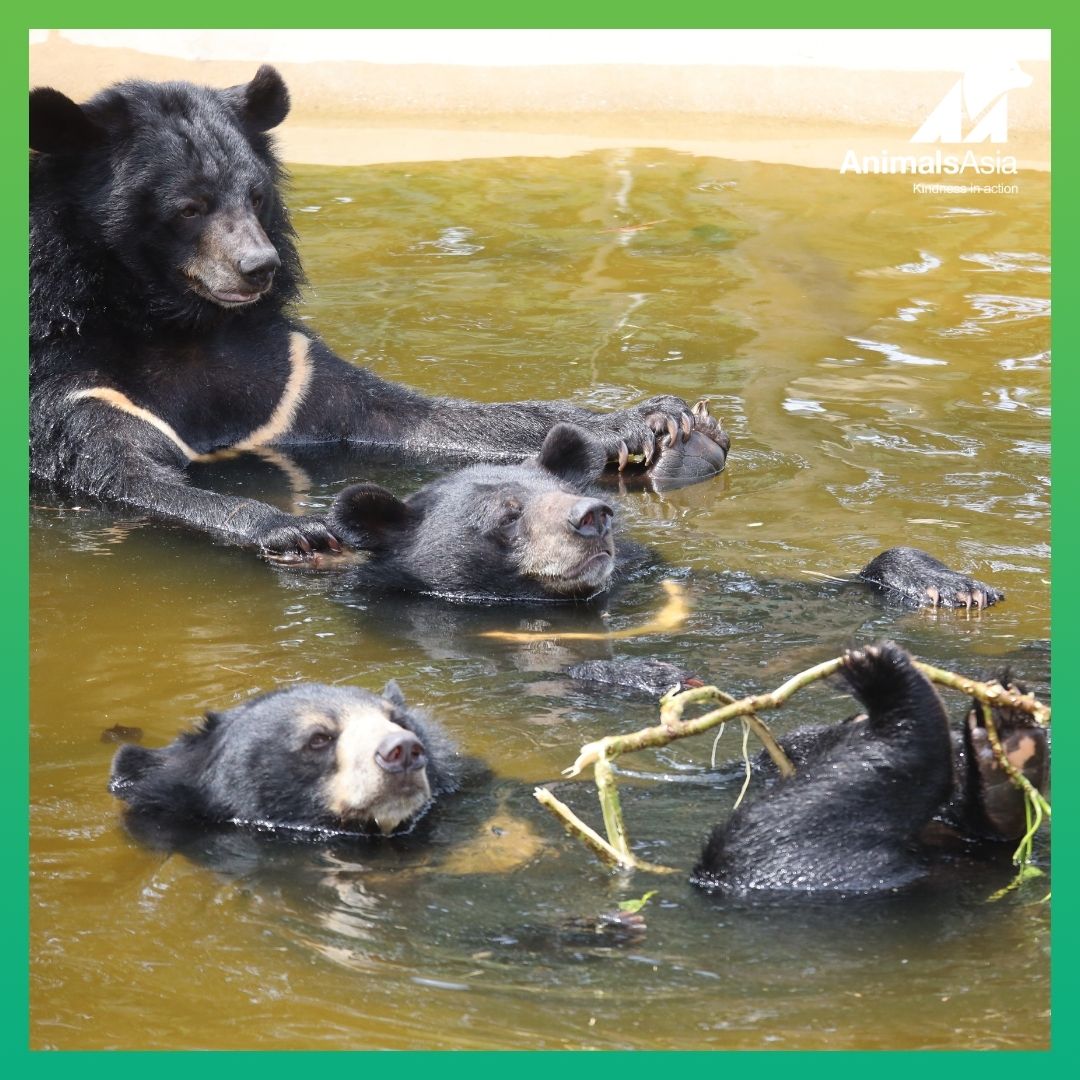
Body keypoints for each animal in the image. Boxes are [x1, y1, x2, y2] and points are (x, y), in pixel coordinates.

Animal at [29, 68, 730, 561]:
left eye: (254, 195)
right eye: (188, 207)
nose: (259, 267)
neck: (176, 322)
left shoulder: (287, 374)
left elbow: (410, 415)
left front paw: (662, 422)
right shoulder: (74, 380)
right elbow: (122, 470)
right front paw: (295, 528)